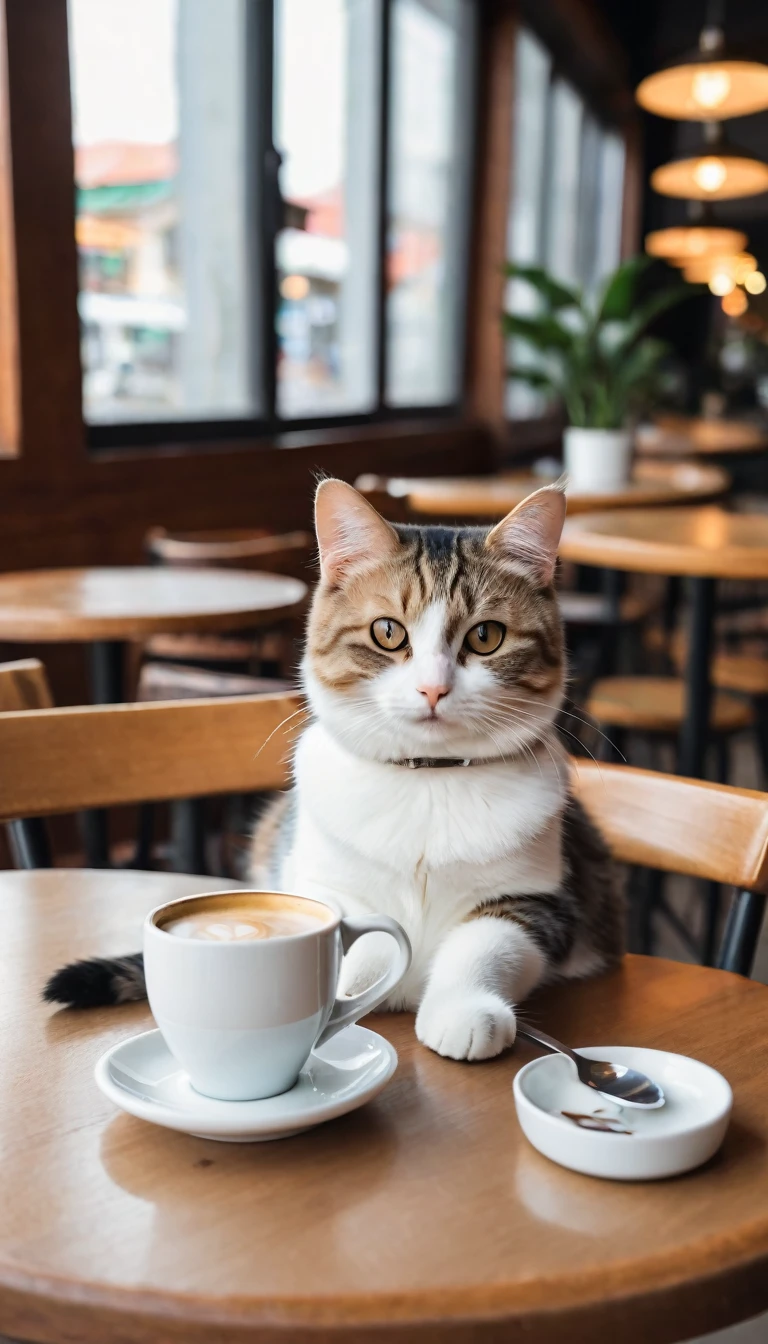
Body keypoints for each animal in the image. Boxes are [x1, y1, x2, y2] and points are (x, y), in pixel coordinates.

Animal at [45, 478, 624, 1053]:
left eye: (486, 637)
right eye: (388, 632)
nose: (433, 688)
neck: (428, 779)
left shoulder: (541, 897)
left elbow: (486, 944)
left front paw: (464, 1010)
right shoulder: (320, 883)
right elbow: (356, 942)